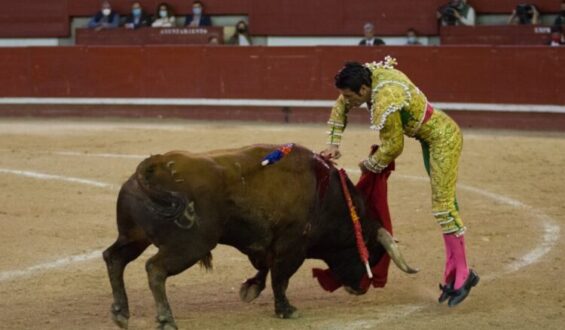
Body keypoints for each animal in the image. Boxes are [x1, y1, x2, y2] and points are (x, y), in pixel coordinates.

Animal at [102, 144, 414, 330]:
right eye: (371, 253)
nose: (361, 288)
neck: (328, 197)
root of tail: (153, 166)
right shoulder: (292, 248)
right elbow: (280, 278)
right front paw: (286, 309)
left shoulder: (263, 243)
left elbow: (264, 268)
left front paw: (250, 289)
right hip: (190, 245)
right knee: (155, 269)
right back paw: (166, 318)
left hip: (134, 236)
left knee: (114, 258)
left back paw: (120, 312)